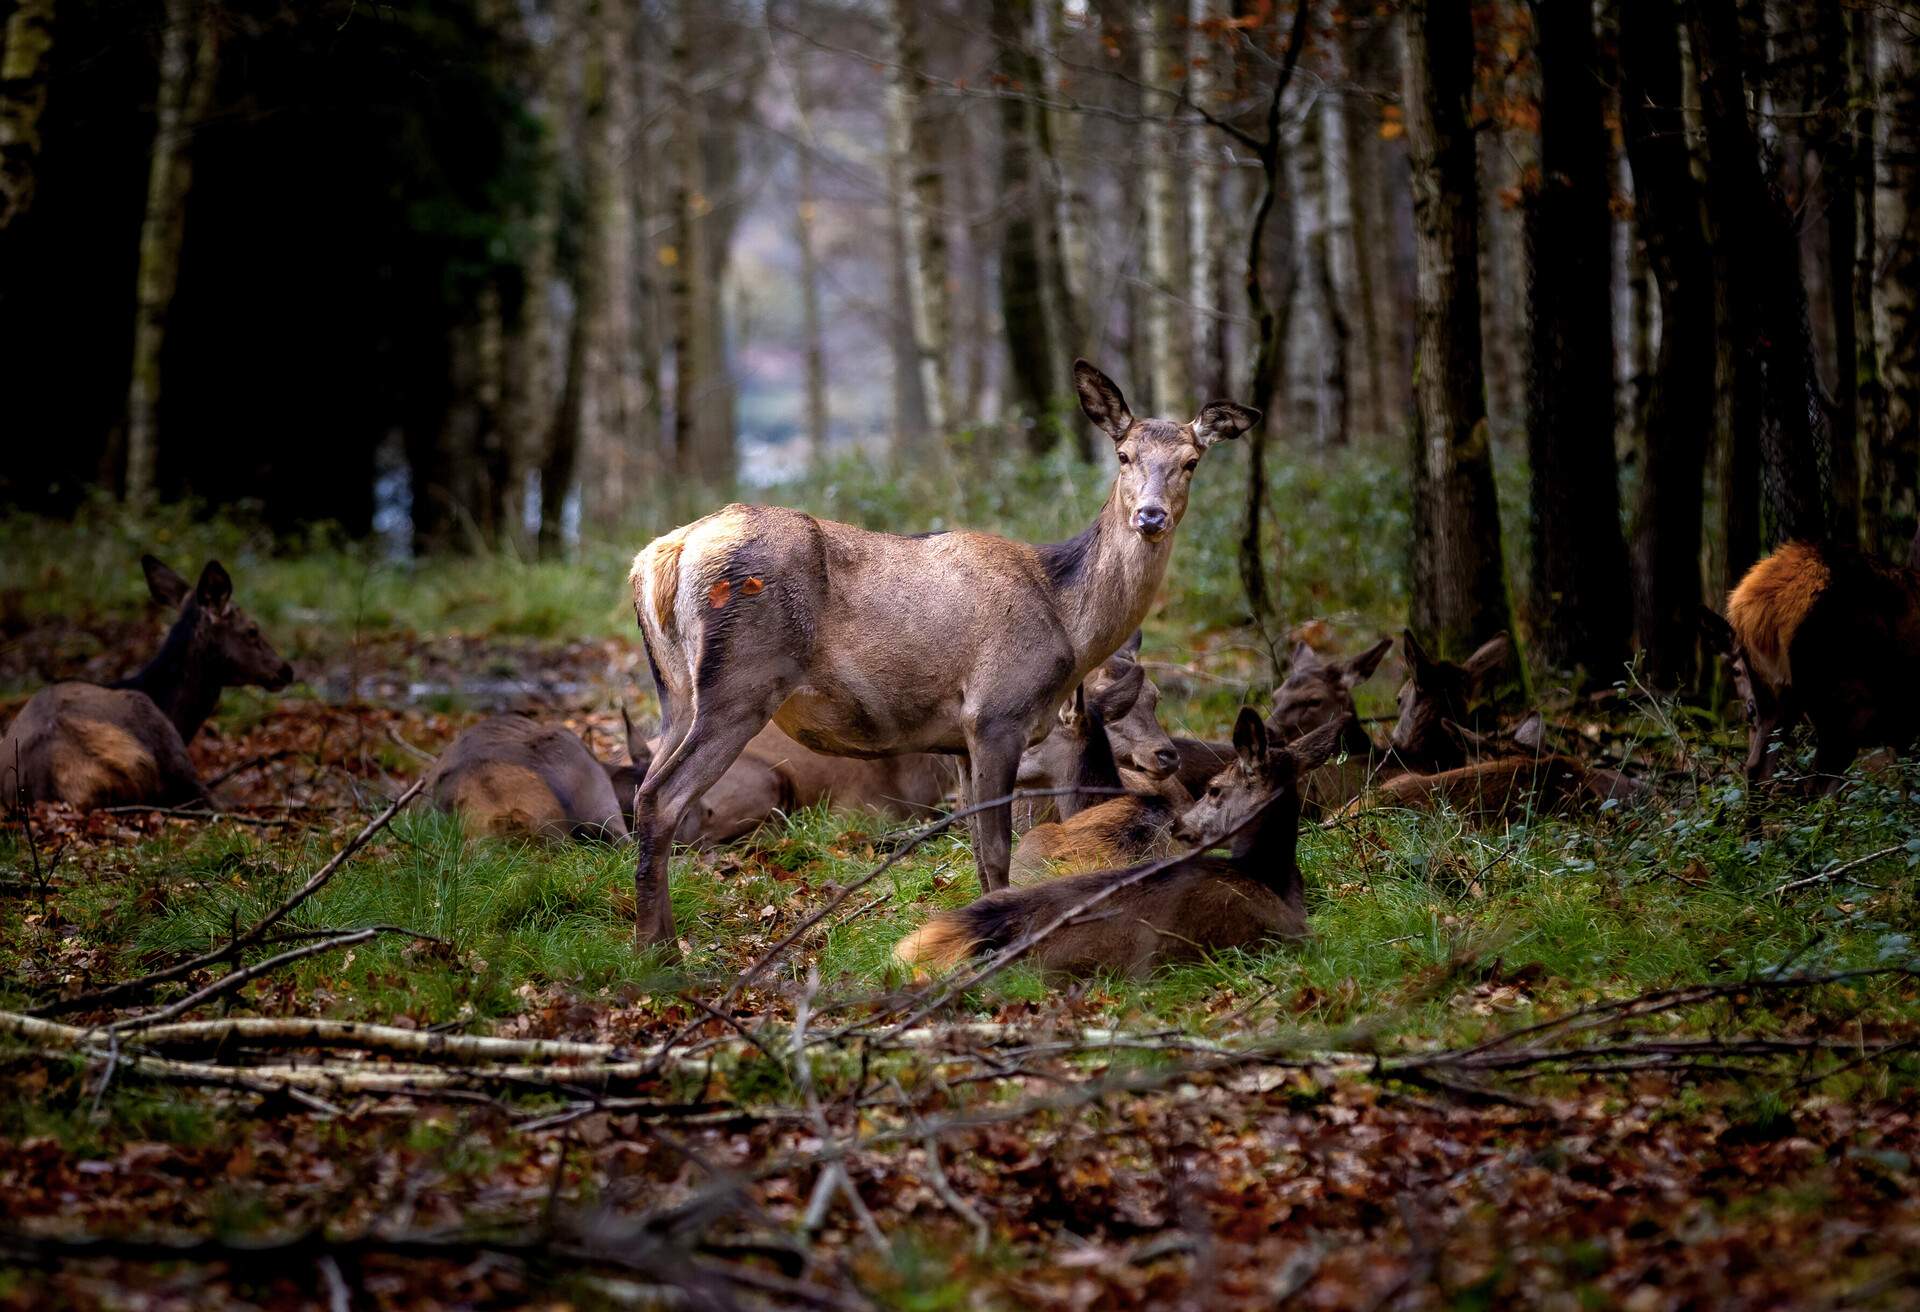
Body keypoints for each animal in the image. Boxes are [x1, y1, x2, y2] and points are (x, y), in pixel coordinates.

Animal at [625, 361, 1259, 945]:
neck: (1067, 619)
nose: (1150, 516)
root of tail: (662, 556)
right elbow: (998, 850)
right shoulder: (998, 711)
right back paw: (660, 950)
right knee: (664, 796)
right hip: (742, 682)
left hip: (675, 693)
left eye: (1191, 461)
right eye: (1123, 455)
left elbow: (977, 850)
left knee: (646, 787)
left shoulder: (959, 736)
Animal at [1697, 534, 1920, 791]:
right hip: (1847, 699)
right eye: (1734, 671)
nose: (1749, 710)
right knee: (1818, 783)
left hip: (1779, 698)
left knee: (1756, 768)